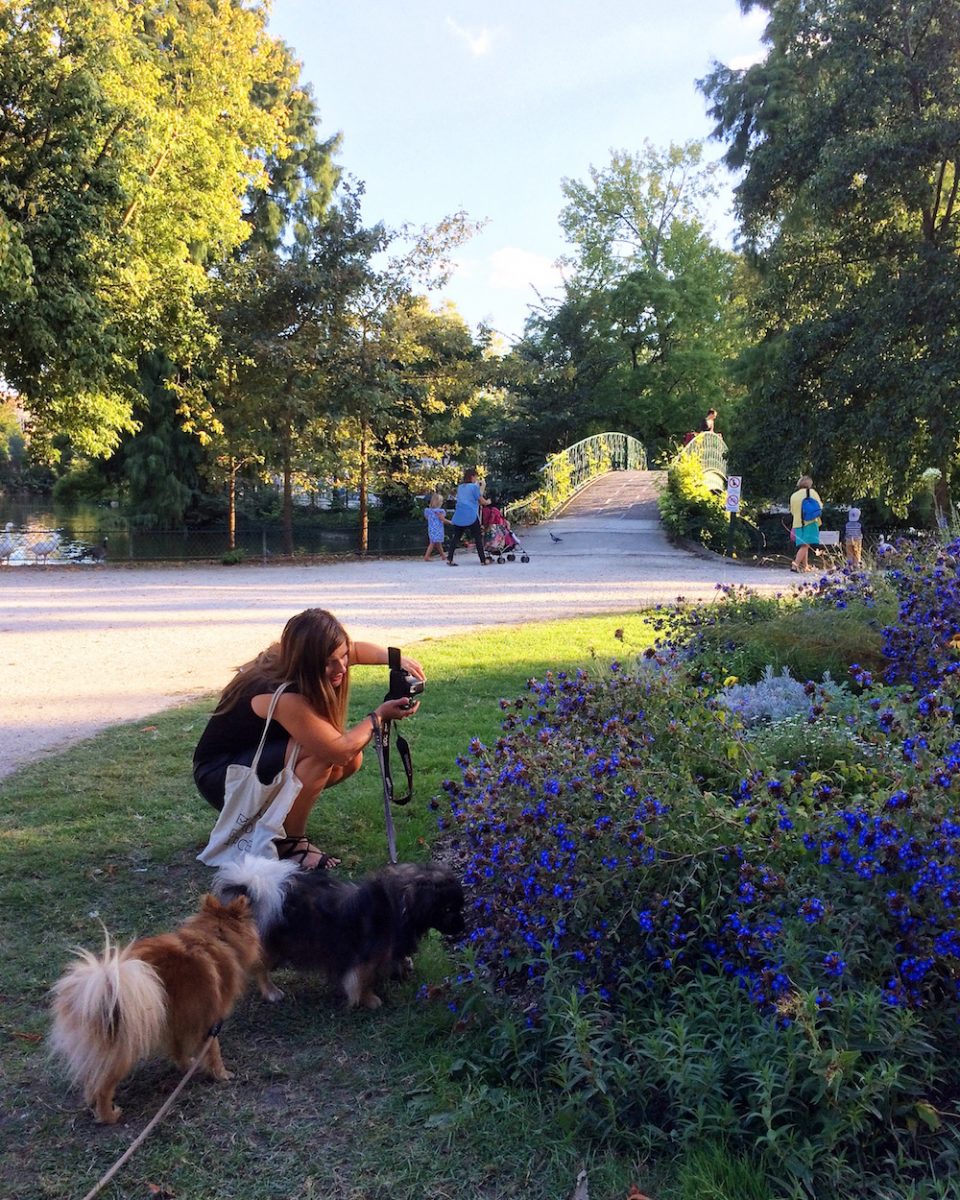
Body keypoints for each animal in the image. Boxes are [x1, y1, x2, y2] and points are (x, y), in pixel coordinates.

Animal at [212, 854, 465, 1012]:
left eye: (458, 907)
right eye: (447, 909)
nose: (462, 927)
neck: (398, 906)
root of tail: (250, 893)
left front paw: (402, 969)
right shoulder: (364, 960)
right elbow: (361, 981)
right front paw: (370, 999)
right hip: (274, 949)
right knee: (260, 969)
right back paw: (272, 992)